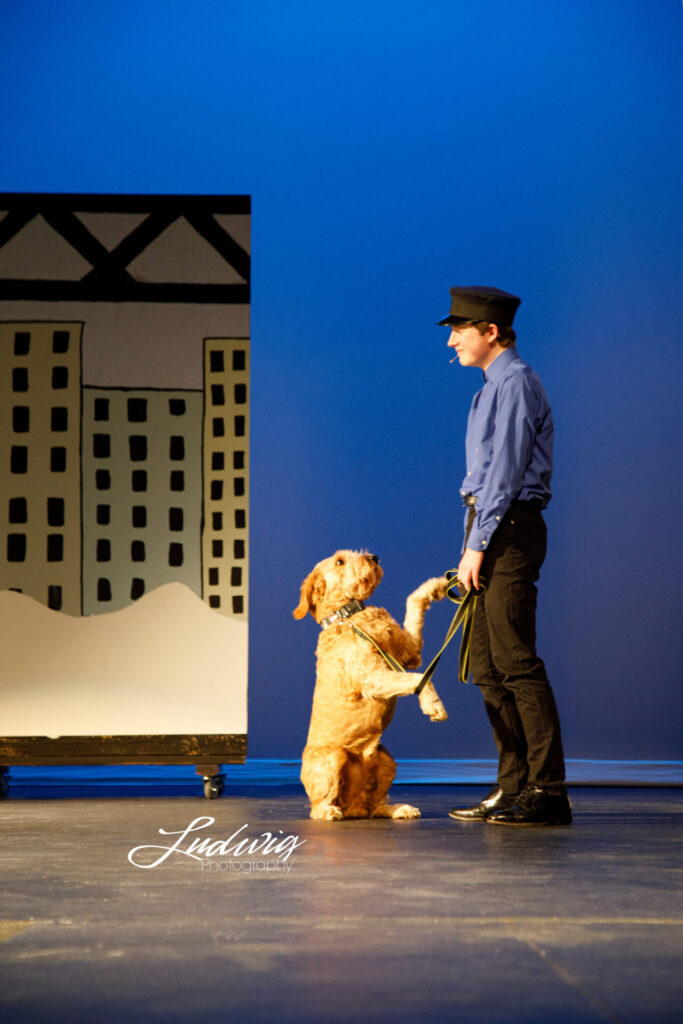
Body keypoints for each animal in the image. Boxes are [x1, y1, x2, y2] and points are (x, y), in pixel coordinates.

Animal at [294, 548, 448, 819]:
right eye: (339, 561)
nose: (373, 558)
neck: (348, 617)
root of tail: (353, 807)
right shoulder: (372, 678)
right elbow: (418, 678)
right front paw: (433, 705)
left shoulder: (409, 652)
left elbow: (413, 601)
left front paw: (437, 586)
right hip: (333, 756)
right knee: (317, 806)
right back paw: (329, 811)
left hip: (385, 760)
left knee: (375, 807)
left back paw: (399, 809)